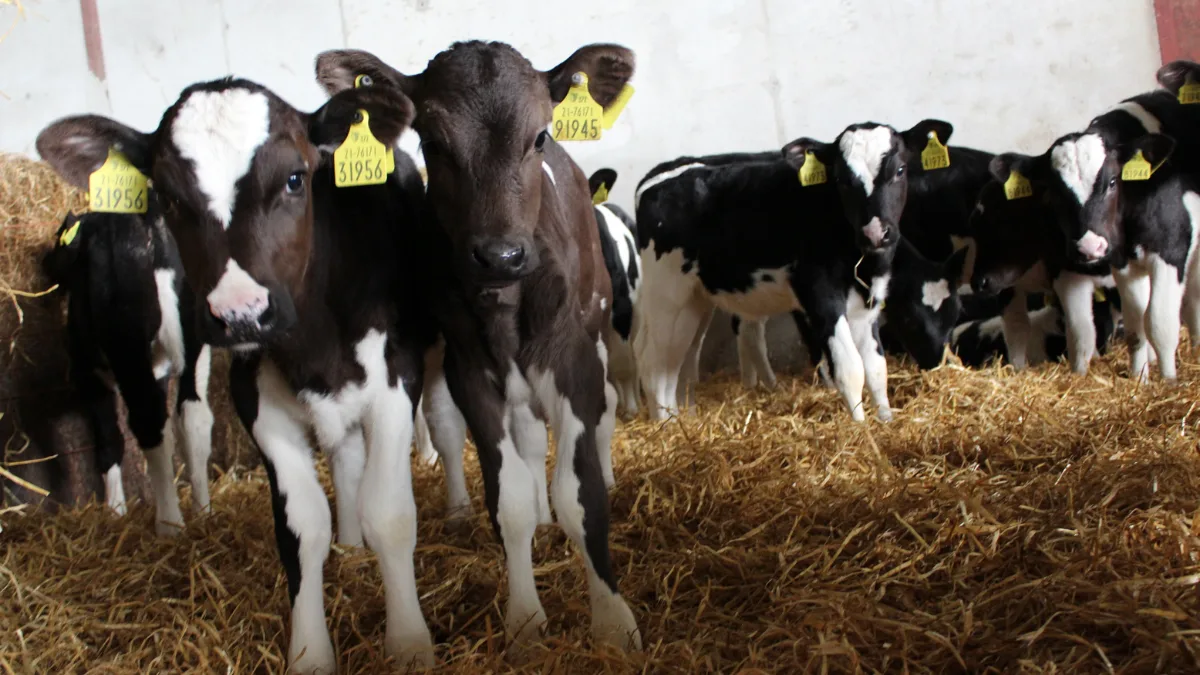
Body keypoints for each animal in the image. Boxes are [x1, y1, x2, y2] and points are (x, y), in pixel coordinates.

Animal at [42, 208, 213, 536]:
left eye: (59, 239)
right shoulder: (160, 371)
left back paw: (169, 525)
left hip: (126, 345)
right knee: (192, 416)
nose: (45, 263)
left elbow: (110, 440)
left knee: (148, 422)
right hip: (193, 340)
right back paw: (203, 511)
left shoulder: (89, 375)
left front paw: (115, 511)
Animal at [315, 41, 642, 654]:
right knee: (528, 439)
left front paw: (613, 620)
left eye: (540, 136)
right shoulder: (469, 371)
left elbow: (582, 493)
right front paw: (525, 619)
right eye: (433, 141)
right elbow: (507, 498)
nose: (500, 255)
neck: (505, 300)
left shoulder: (573, 358)